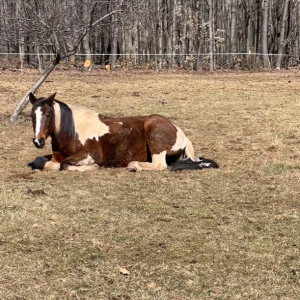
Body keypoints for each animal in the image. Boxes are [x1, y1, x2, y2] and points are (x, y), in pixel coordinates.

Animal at [28, 92, 218, 172]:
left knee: (159, 166)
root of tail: (179, 131)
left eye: (48, 114)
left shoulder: (88, 154)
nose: (38, 141)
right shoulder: (57, 155)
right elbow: (40, 161)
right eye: (32, 115)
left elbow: (64, 165)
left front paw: (93, 167)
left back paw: (134, 166)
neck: (72, 131)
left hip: (155, 141)